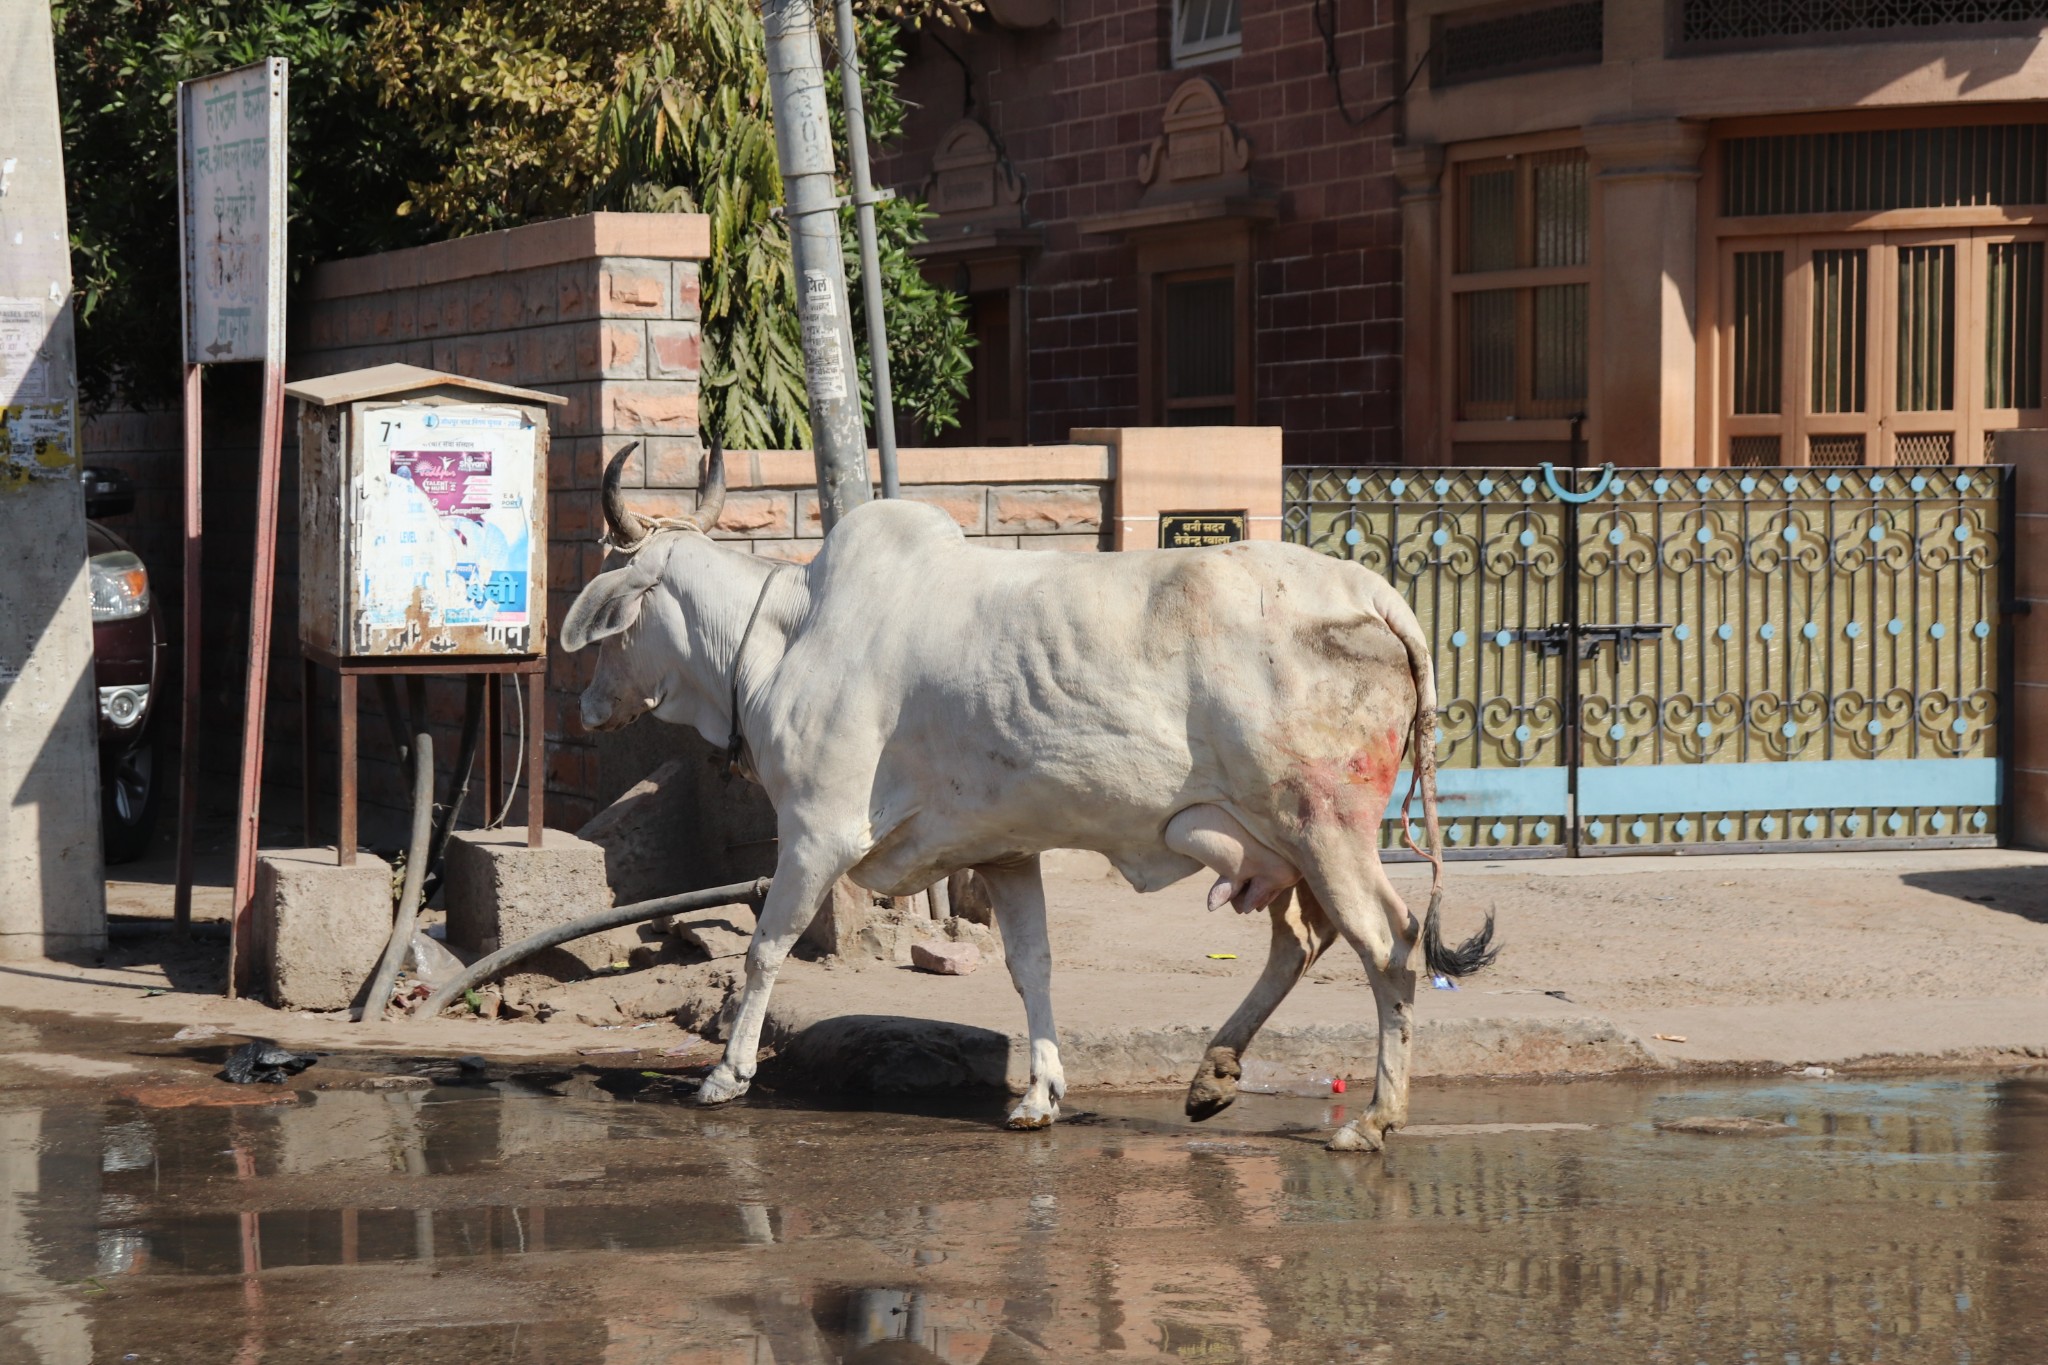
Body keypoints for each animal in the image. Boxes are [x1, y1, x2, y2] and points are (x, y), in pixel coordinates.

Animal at [557, 448, 1490, 1154]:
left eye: (612, 595)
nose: (590, 703)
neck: (781, 636)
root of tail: (1376, 593)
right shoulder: (1004, 849)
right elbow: (1031, 964)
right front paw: (1039, 1093)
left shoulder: (820, 830)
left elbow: (764, 949)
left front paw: (726, 1074)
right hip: (1278, 842)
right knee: (1301, 940)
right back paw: (1213, 1075)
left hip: (1325, 824)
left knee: (1388, 941)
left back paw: (1373, 1118)